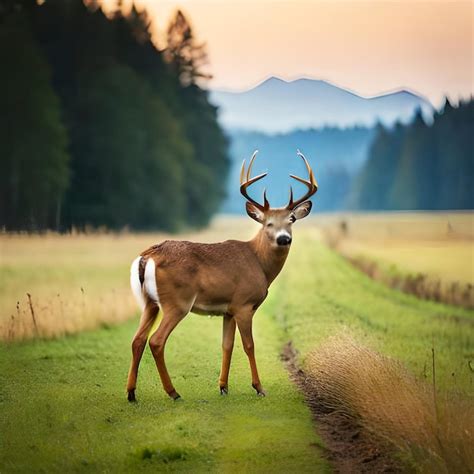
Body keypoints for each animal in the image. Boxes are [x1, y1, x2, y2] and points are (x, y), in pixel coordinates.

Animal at [126, 150, 318, 402]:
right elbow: (249, 345)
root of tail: (148, 256)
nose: (284, 238)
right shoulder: (244, 304)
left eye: (291, 220)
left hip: (151, 303)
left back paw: (131, 393)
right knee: (156, 341)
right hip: (177, 302)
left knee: (137, 340)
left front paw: (223, 387)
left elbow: (227, 345)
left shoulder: (228, 309)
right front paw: (259, 387)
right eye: (268, 223)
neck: (260, 264)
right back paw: (173, 392)